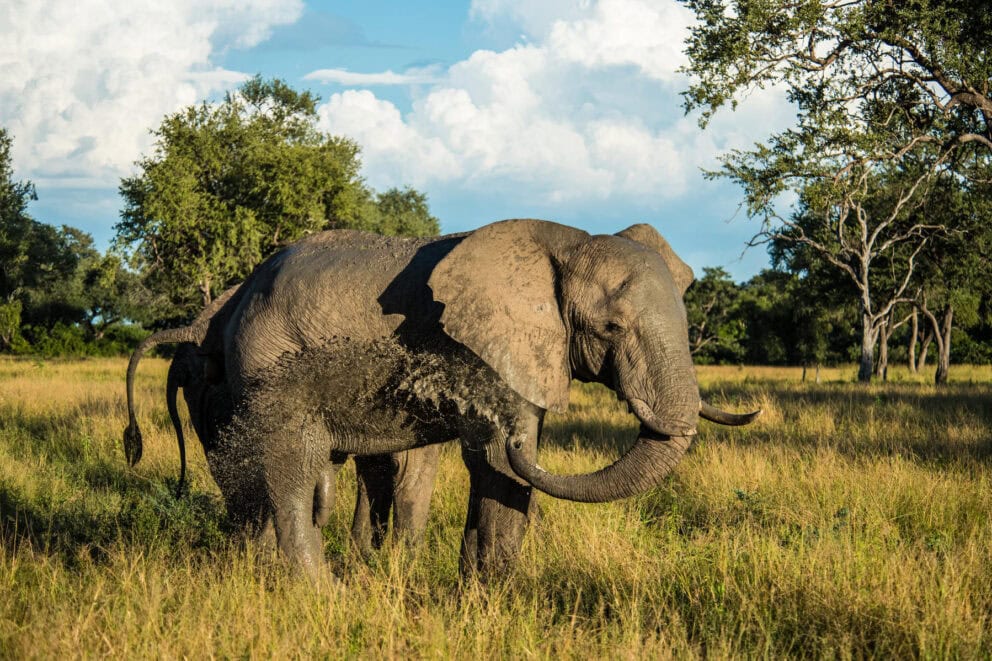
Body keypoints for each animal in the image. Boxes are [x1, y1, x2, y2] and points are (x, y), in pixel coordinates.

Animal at [172, 218, 758, 580]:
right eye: (611, 327)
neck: (568, 242)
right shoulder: (485, 348)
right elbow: (496, 463)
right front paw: (489, 597)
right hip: (268, 357)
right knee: (286, 460)